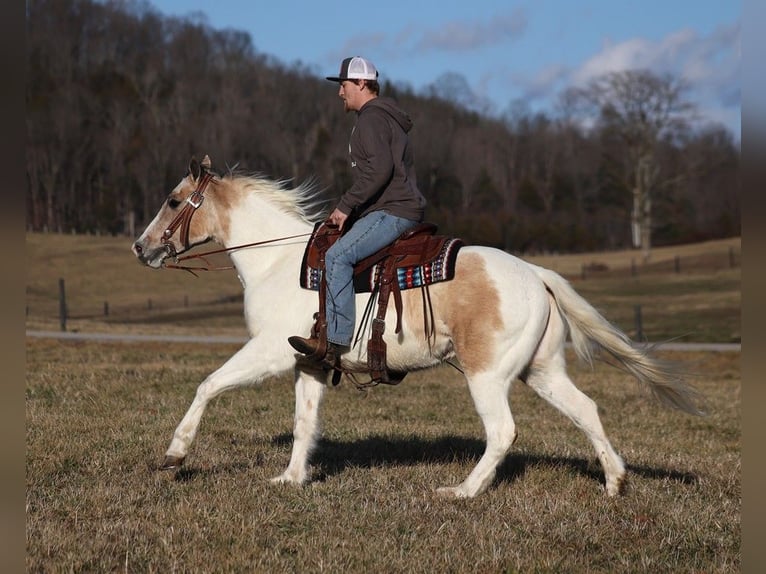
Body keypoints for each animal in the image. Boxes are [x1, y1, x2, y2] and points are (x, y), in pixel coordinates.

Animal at [130, 156, 704, 500]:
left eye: (174, 201)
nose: (141, 246)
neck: (278, 262)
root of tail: (536, 274)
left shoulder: (269, 350)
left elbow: (208, 386)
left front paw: (175, 456)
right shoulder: (307, 362)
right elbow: (304, 423)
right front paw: (292, 478)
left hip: (488, 376)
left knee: (502, 431)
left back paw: (463, 492)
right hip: (540, 372)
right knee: (586, 410)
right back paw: (614, 482)